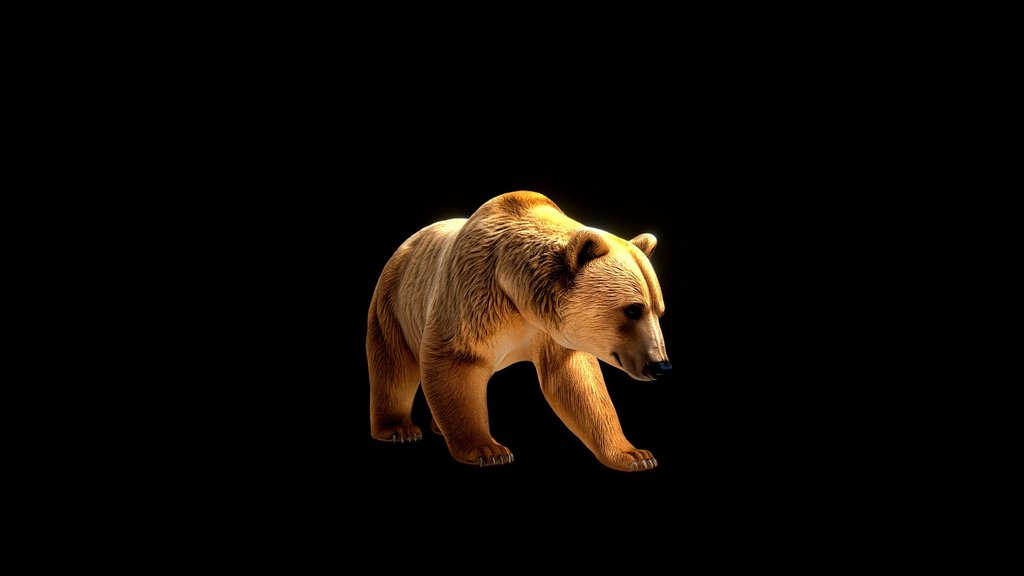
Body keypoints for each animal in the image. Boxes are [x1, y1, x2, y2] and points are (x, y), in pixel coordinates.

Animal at [366, 191, 672, 472]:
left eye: (658, 310)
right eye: (633, 309)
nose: (661, 365)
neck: (519, 297)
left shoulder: (552, 333)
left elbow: (579, 385)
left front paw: (635, 454)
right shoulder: (472, 299)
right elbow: (457, 360)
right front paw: (489, 450)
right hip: (393, 303)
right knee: (393, 365)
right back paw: (399, 429)